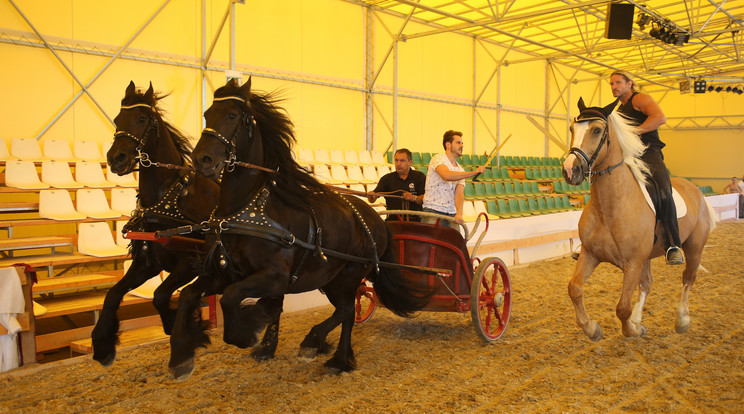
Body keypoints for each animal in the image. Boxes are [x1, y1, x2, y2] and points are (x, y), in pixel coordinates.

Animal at [89, 82, 218, 368]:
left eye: (141, 118)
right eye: (117, 119)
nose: (117, 158)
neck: (170, 199)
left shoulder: (189, 262)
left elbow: (159, 295)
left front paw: (179, 330)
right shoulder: (146, 263)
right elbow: (112, 295)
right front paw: (103, 344)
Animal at [166, 77, 430, 378]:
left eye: (232, 115)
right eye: (207, 114)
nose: (202, 159)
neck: (243, 210)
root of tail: (374, 218)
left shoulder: (273, 277)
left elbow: (232, 300)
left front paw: (249, 329)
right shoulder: (224, 274)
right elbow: (188, 296)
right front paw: (181, 356)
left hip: (351, 273)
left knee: (347, 311)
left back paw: (324, 350)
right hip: (331, 278)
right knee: (345, 311)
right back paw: (332, 352)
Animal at [564, 98, 716, 342]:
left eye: (596, 130)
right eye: (572, 129)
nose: (570, 170)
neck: (610, 207)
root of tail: (696, 189)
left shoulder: (633, 263)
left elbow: (622, 307)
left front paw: (632, 330)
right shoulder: (590, 254)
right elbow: (574, 289)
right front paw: (592, 328)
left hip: (694, 248)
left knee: (688, 278)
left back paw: (682, 320)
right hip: (648, 256)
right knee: (647, 284)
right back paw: (638, 319)